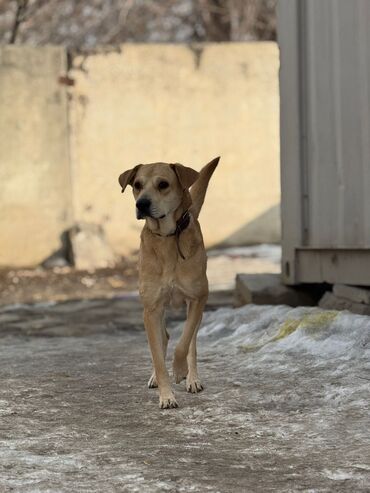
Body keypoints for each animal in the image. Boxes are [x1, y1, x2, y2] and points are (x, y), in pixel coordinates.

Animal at [119, 157, 220, 408]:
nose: (142, 204)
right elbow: (157, 355)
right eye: (137, 185)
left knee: (191, 341)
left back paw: (192, 378)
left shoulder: (197, 299)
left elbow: (184, 344)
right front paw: (166, 395)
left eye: (163, 184)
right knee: (163, 338)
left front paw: (180, 371)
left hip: (196, 307)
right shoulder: (151, 308)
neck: (167, 238)